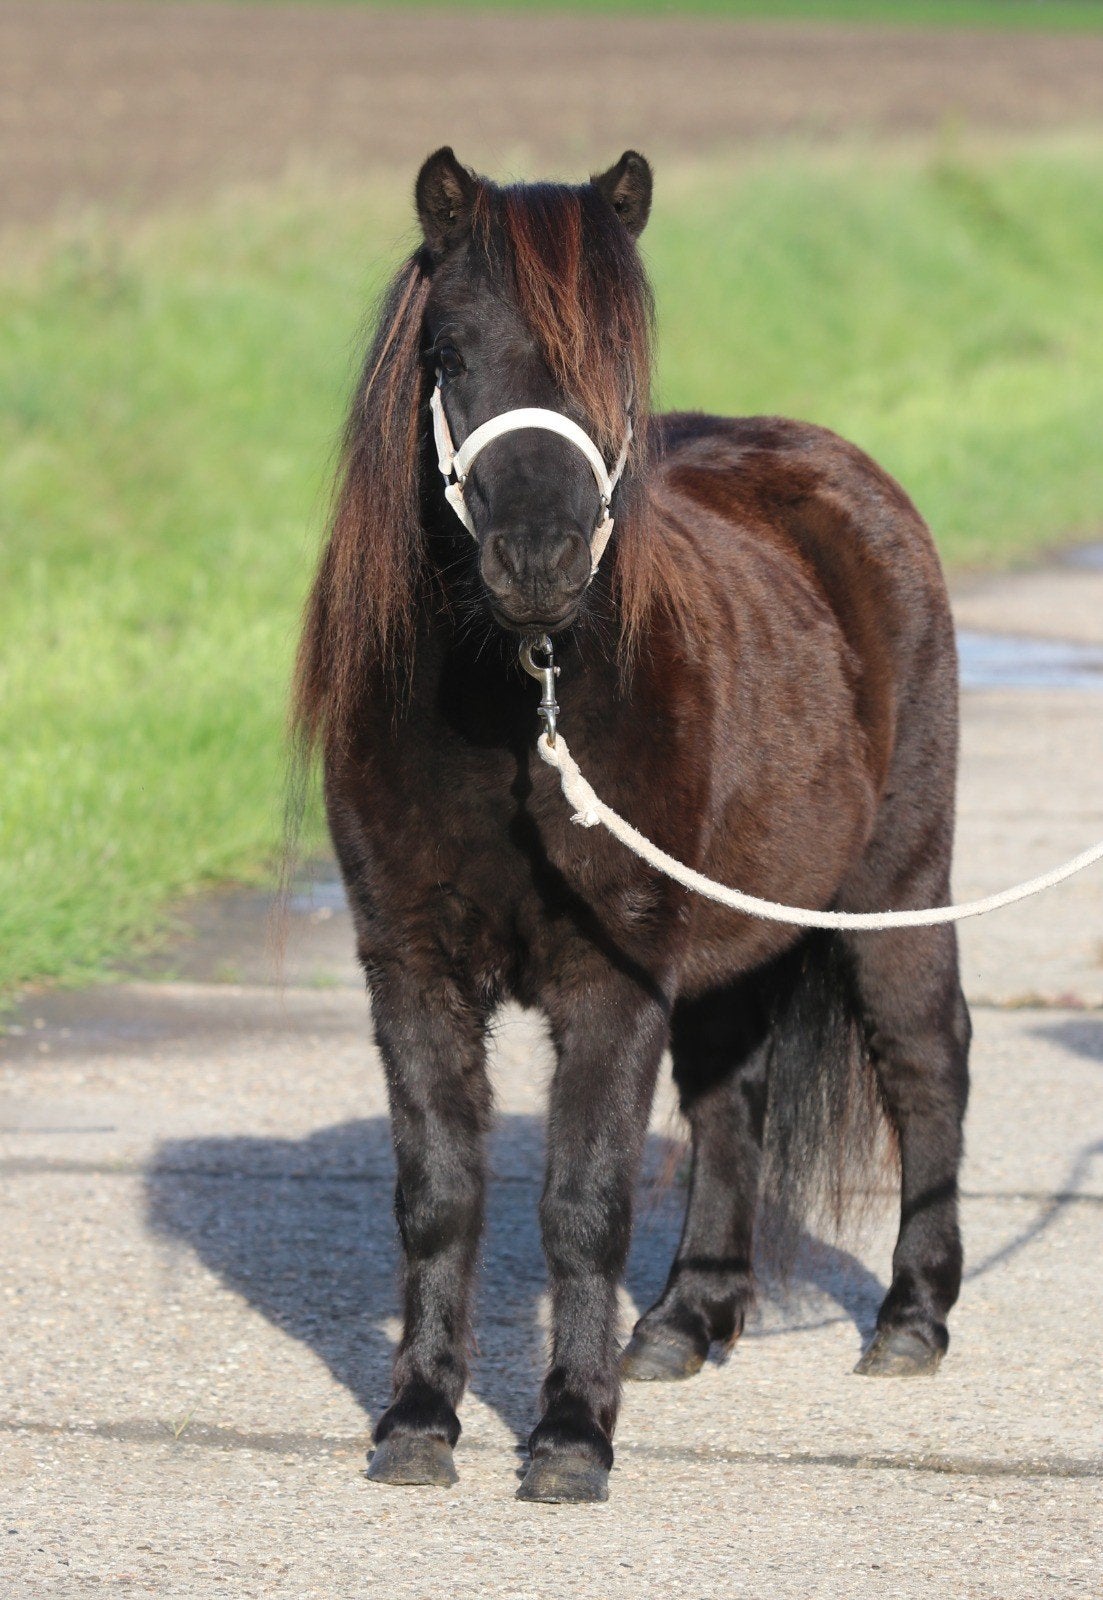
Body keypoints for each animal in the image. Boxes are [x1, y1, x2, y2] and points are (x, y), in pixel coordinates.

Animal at [293, 147, 971, 1505]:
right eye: (448, 351)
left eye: (614, 355)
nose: (538, 560)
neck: (513, 705)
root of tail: (846, 474)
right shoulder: (410, 968)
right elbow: (439, 1194)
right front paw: (417, 1420)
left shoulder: (610, 980)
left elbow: (582, 1202)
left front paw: (567, 1436)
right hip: (731, 946)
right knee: (730, 1102)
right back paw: (683, 1321)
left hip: (895, 887)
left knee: (926, 1061)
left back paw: (909, 1320)